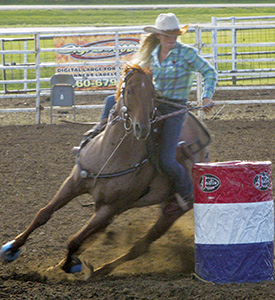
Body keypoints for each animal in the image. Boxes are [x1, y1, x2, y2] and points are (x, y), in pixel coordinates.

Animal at [0, 63, 211, 278]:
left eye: (152, 93)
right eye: (129, 91)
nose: (142, 128)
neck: (110, 155)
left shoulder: (109, 207)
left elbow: (74, 240)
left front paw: (70, 265)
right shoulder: (74, 182)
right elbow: (43, 214)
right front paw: (12, 249)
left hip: (168, 213)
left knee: (139, 246)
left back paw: (97, 271)